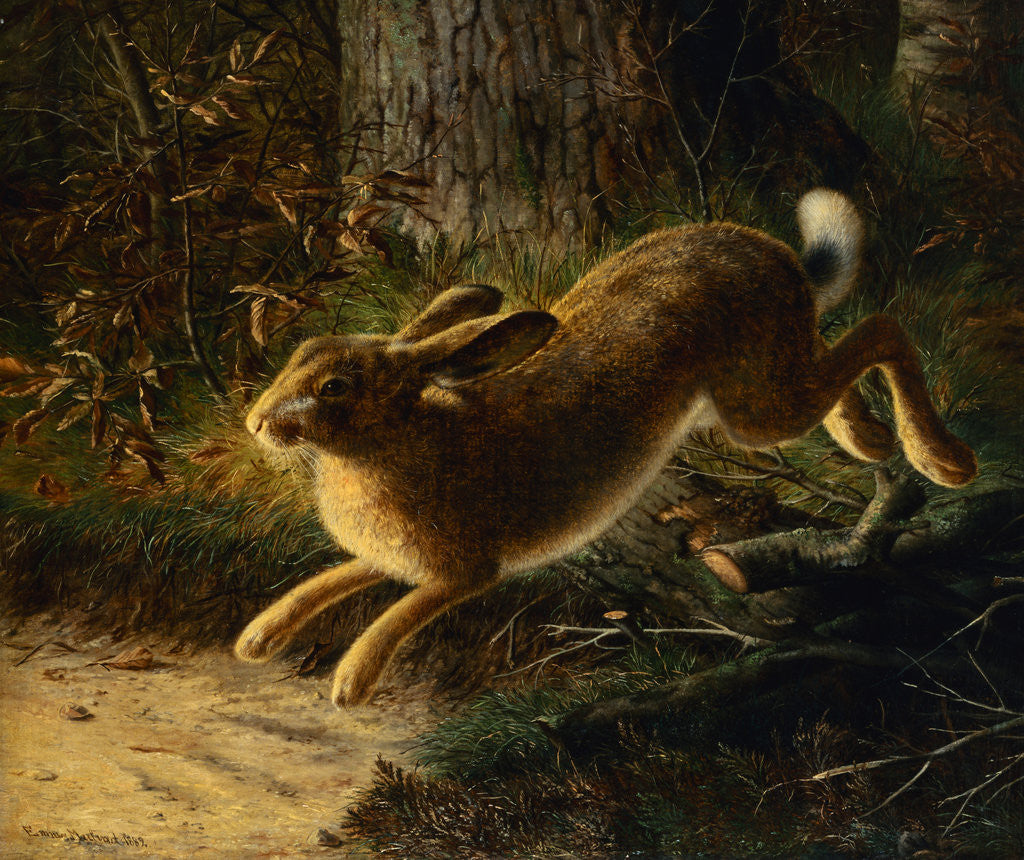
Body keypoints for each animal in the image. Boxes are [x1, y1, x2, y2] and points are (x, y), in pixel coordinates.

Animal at [235, 188, 977, 707]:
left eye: (334, 387)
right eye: (302, 352)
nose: (256, 423)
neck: (402, 434)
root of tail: (783, 259)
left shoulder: (465, 572)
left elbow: (402, 612)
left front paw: (349, 684)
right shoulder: (389, 556)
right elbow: (332, 580)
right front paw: (259, 639)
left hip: (757, 404)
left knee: (882, 328)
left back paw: (941, 459)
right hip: (771, 384)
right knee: (837, 349)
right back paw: (868, 439)